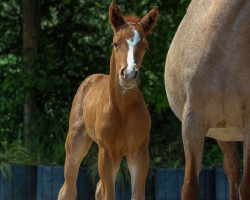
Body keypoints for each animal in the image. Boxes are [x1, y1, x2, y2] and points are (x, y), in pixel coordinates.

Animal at [57, 0, 157, 199]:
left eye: (145, 46)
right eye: (115, 43)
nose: (129, 75)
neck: (122, 109)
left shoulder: (139, 152)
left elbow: (135, 194)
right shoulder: (106, 153)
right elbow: (109, 194)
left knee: (97, 188)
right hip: (76, 143)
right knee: (67, 189)